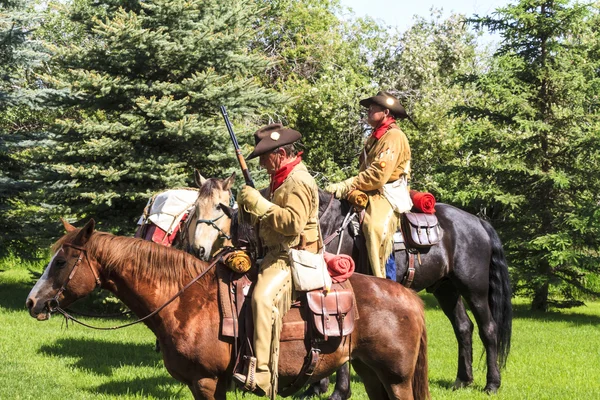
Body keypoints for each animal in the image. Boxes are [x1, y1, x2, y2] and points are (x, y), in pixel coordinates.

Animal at [25, 219, 428, 400]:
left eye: (61, 261)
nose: (33, 302)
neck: (186, 302)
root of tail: (409, 299)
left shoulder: (205, 381)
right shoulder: (210, 383)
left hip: (396, 378)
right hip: (371, 374)